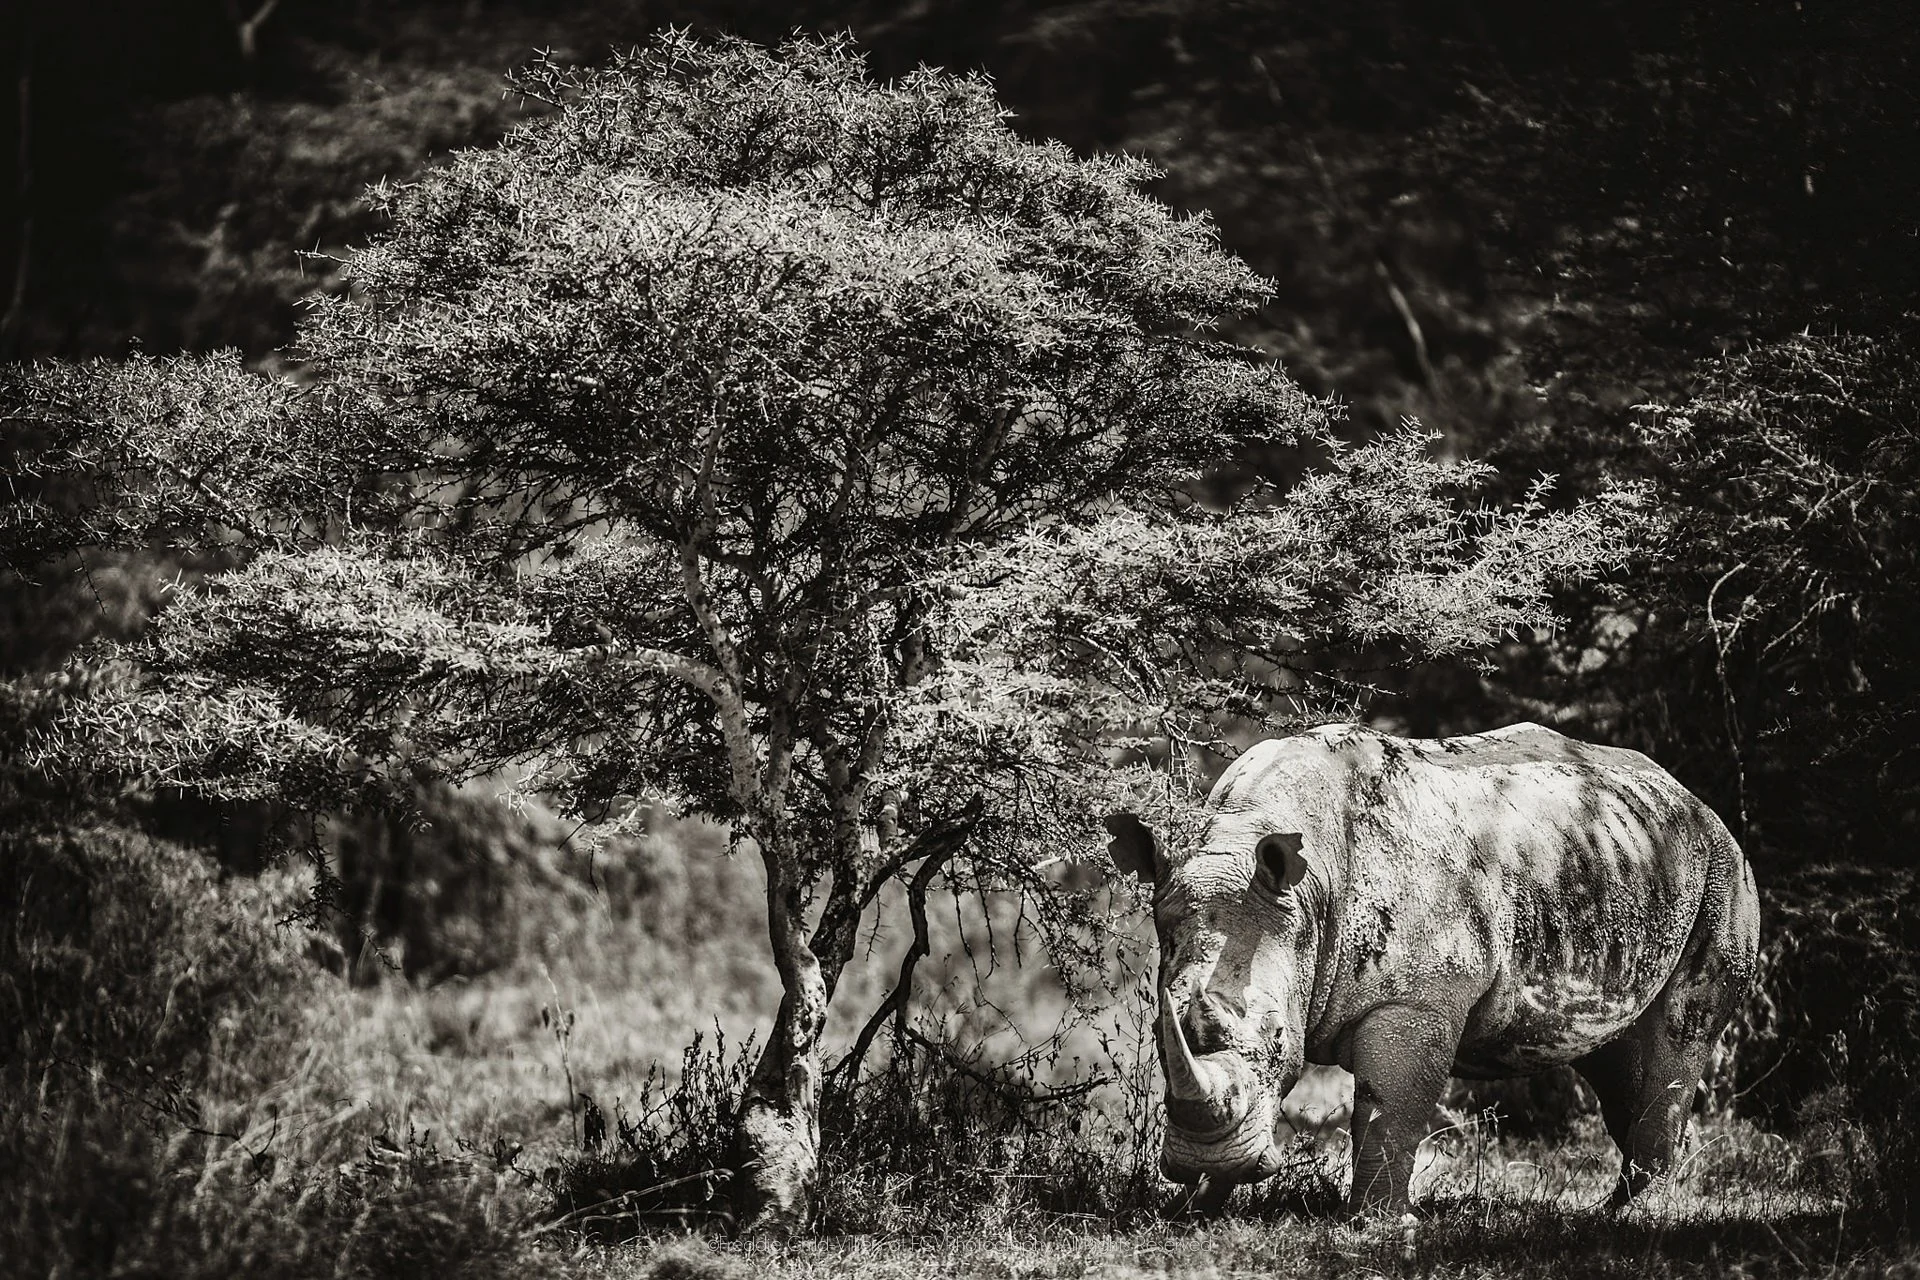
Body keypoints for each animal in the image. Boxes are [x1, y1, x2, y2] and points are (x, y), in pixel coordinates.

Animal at [1106, 721, 1760, 1215]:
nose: (1201, 1159)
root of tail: (1694, 799)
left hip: (1723, 870)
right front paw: (1201, 1203)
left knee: (1680, 1034)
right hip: (1620, 865)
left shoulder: (1416, 999)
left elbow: (1389, 1110)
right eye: (1161, 1041)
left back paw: (1630, 1218)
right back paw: (1623, 1207)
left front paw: (1376, 1222)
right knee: (1616, 1056)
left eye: (1277, 1041)